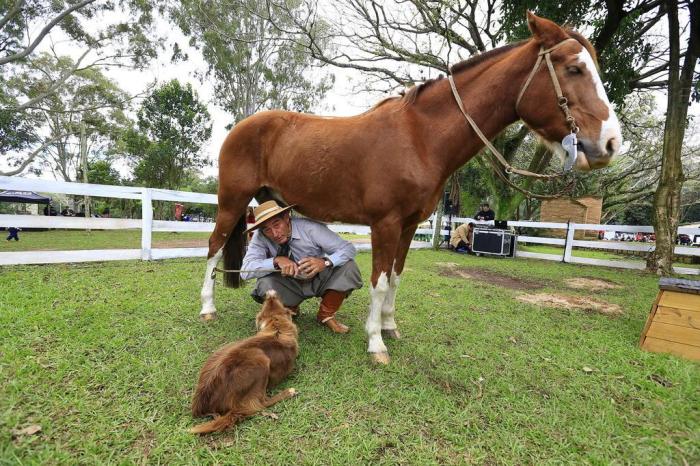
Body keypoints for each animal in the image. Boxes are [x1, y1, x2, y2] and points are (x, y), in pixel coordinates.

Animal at [191, 290, 298, 436]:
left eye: (272, 300)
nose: (270, 293)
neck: (276, 325)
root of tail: (200, 403)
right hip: (261, 360)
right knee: (258, 404)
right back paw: (288, 392)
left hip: (224, 349)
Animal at [200, 11, 620, 364]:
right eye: (574, 68)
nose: (611, 144)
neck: (419, 138)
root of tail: (241, 127)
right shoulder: (385, 224)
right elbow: (380, 280)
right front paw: (375, 342)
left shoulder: (408, 225)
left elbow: (397, 277)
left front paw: (389, 326)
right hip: (231, 201)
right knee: (214, 248)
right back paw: (208, 308)